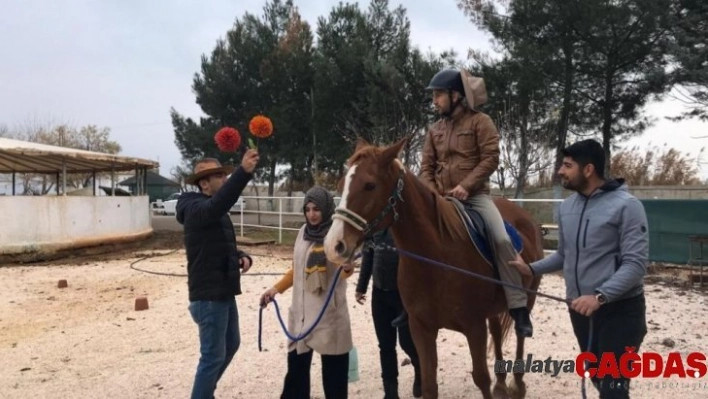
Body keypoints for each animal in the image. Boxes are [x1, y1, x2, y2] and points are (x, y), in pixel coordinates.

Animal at [324, 138, 544, 399]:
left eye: (369, 185)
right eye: (341, 185)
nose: (334, 245)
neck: (437, 259)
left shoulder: (474, 327)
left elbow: (481, 377)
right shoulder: (422, 329)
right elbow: (429, 385)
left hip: (528, 296)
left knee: (520, 333)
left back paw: (517, 384)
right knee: (498, 332)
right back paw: (501, 384)